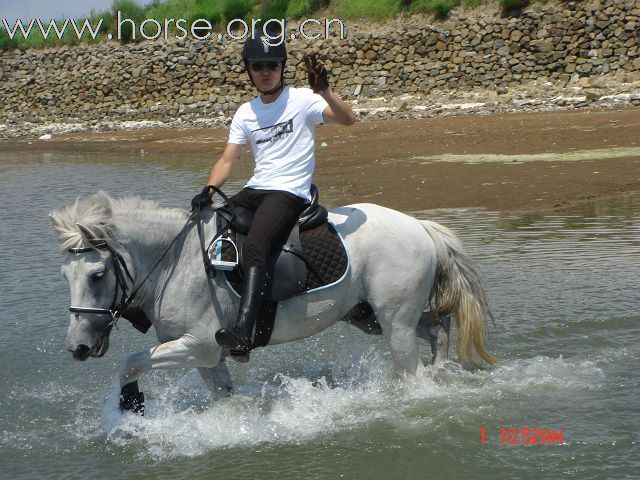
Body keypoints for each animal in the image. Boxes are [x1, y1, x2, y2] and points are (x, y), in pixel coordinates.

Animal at [50, 191, 496, 412]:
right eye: (66, 276)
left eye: (97, 275)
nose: (78, 347)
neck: (175, 261)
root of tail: (419, 225)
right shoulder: (206, 357)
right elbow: (224, 399)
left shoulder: (198, 346)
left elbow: (130, 363)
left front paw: (130, 406)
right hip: (370, 316)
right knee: (438, 328)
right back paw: (444, 370)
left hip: (395, 324)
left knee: (414, 369)